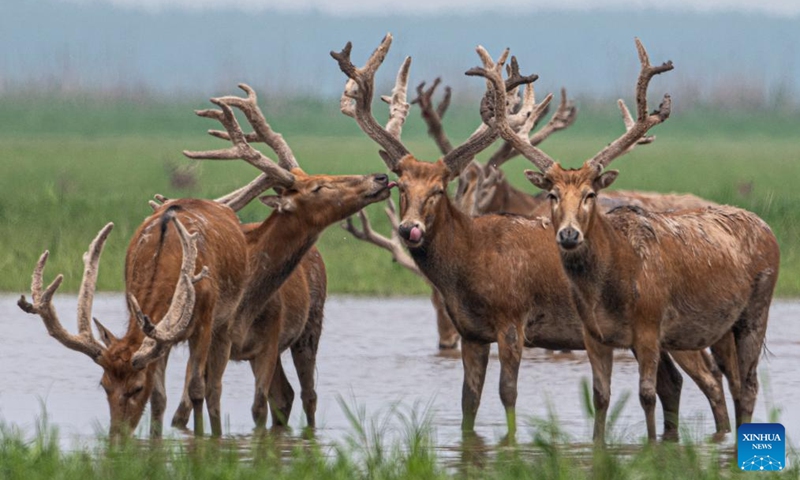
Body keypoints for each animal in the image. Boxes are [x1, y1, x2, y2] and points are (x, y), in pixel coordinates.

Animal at [333, 34, 740, 441]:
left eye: (438, 189)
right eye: (400, 185)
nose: (409, 228)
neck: (469, 265)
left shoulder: (512, 320)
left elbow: (507, 393)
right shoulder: (472, 332)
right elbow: (469, 401)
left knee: (711, 379)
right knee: (675, 383)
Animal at [476, 37, 779, 443]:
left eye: (590, 194)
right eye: (552, 194)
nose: (568, 234)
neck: (611, 288)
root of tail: (767, 229)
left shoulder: (650, 327)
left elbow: (647, 394)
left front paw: (652, 445)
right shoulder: (594, 335)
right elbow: (601, 396)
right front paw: (600, 444)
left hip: (756, 310)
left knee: (746, 386)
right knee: (730, 384)